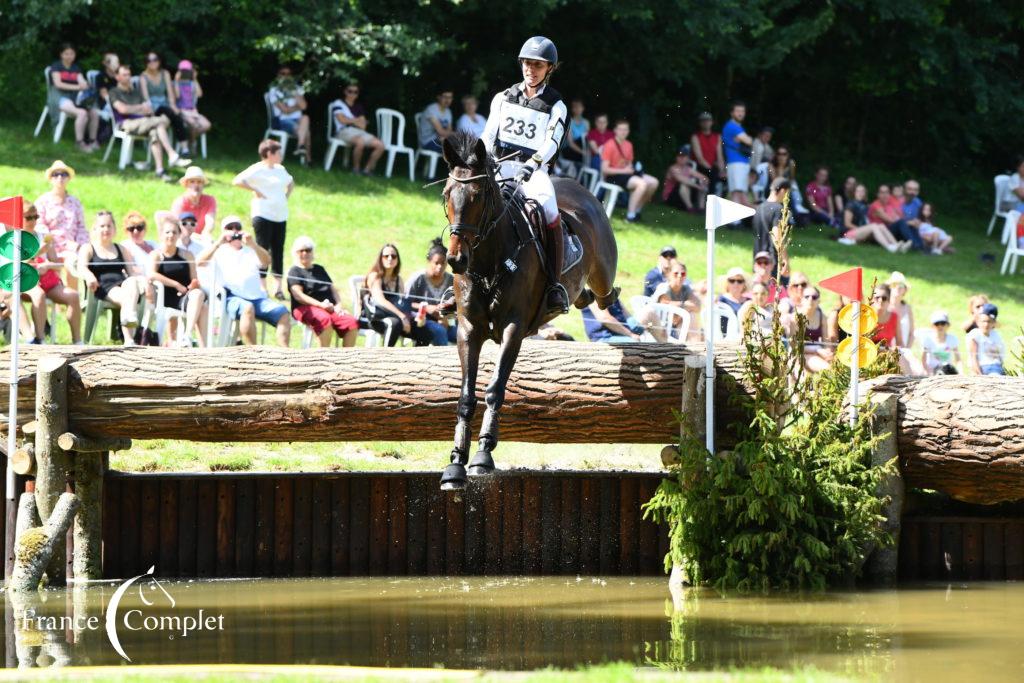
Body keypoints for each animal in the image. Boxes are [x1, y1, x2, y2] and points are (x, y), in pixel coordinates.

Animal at [438, 129, 614, 491]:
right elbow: (466, 396)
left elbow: (494, 389)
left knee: (607, 293)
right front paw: (456, 463)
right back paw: (581, 298)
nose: (456, 260)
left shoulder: (513, 329)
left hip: (604, 271)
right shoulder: (468, 329)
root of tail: (582, 191)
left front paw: (483, 455)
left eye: (479, 195)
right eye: (447, 194)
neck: (488, 260)